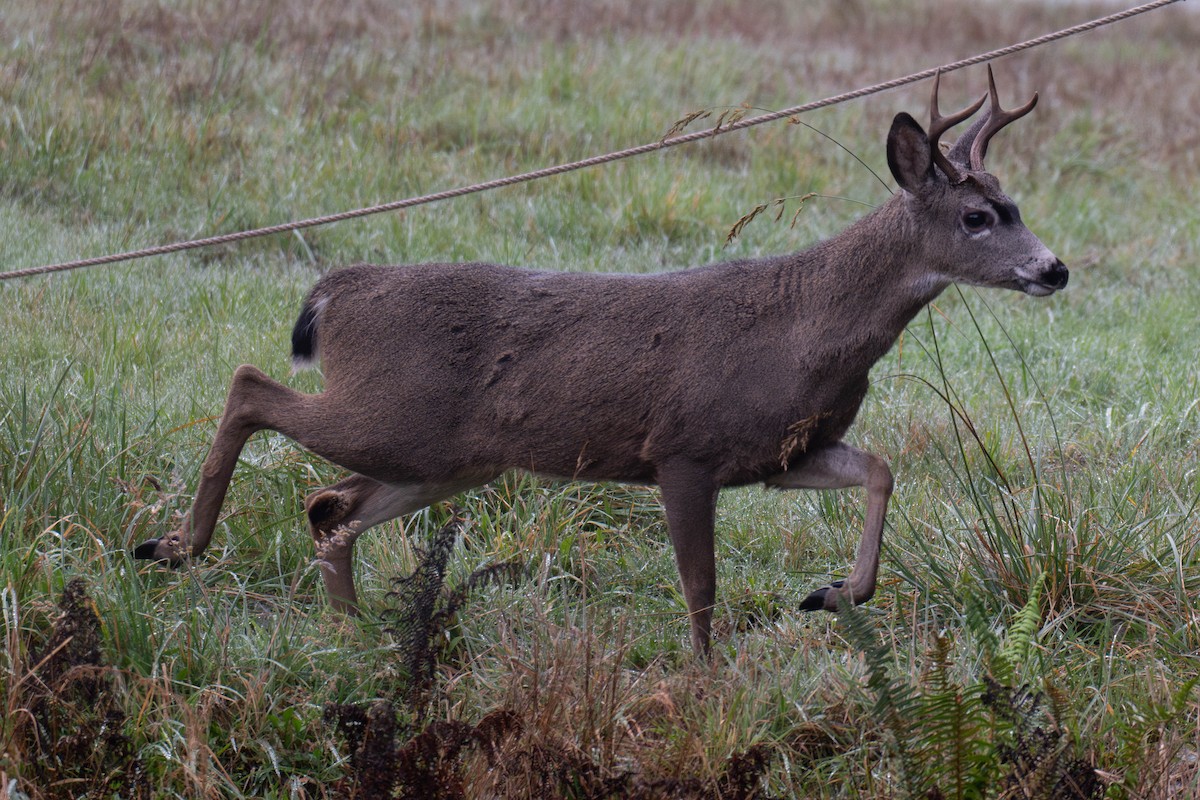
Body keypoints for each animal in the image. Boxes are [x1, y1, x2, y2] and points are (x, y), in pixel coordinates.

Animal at [134, 66, 1067, 654]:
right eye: (979, 216)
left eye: (1018, 204)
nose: (1055, 268)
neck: (805, 329)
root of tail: (337, 291)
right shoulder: (683, 448)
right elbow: (700, 587)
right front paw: (706, 682)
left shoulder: (779, 453)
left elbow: (879, 469)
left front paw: (833, 591)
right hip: (391, 412)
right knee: (251, 386)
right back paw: (175, 546)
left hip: (444, 457)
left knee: (326, 504)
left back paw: (350, 634)